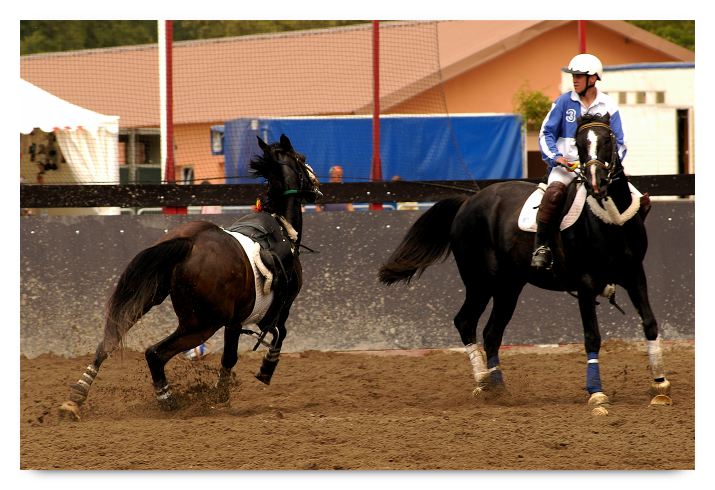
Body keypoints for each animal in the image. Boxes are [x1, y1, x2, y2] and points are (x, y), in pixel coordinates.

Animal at [59, 134, 321, 420]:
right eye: (302, 159)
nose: (317, 187)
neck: (283, 227)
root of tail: (189, 243)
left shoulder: (241, 320)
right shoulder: (263, 313)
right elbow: (263, 342)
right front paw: (249, 379)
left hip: (147, 299)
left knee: (108, 341)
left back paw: (76, 396)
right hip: (202, 324)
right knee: (155, 353)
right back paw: (169, 401)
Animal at [379, 113, 671, 414]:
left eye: (608, 141)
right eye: (579, 145)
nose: (596, 183)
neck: (609, 222)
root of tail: (469, 200)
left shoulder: (635, 275)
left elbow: (650, 323)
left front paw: (659, 384)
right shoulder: (586, 283)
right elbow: (592, 335)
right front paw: (596, 392)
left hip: (508, 286)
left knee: (491, 333)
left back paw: (498, 388)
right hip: (480, 282)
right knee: (466, 321)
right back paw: (482, 381)